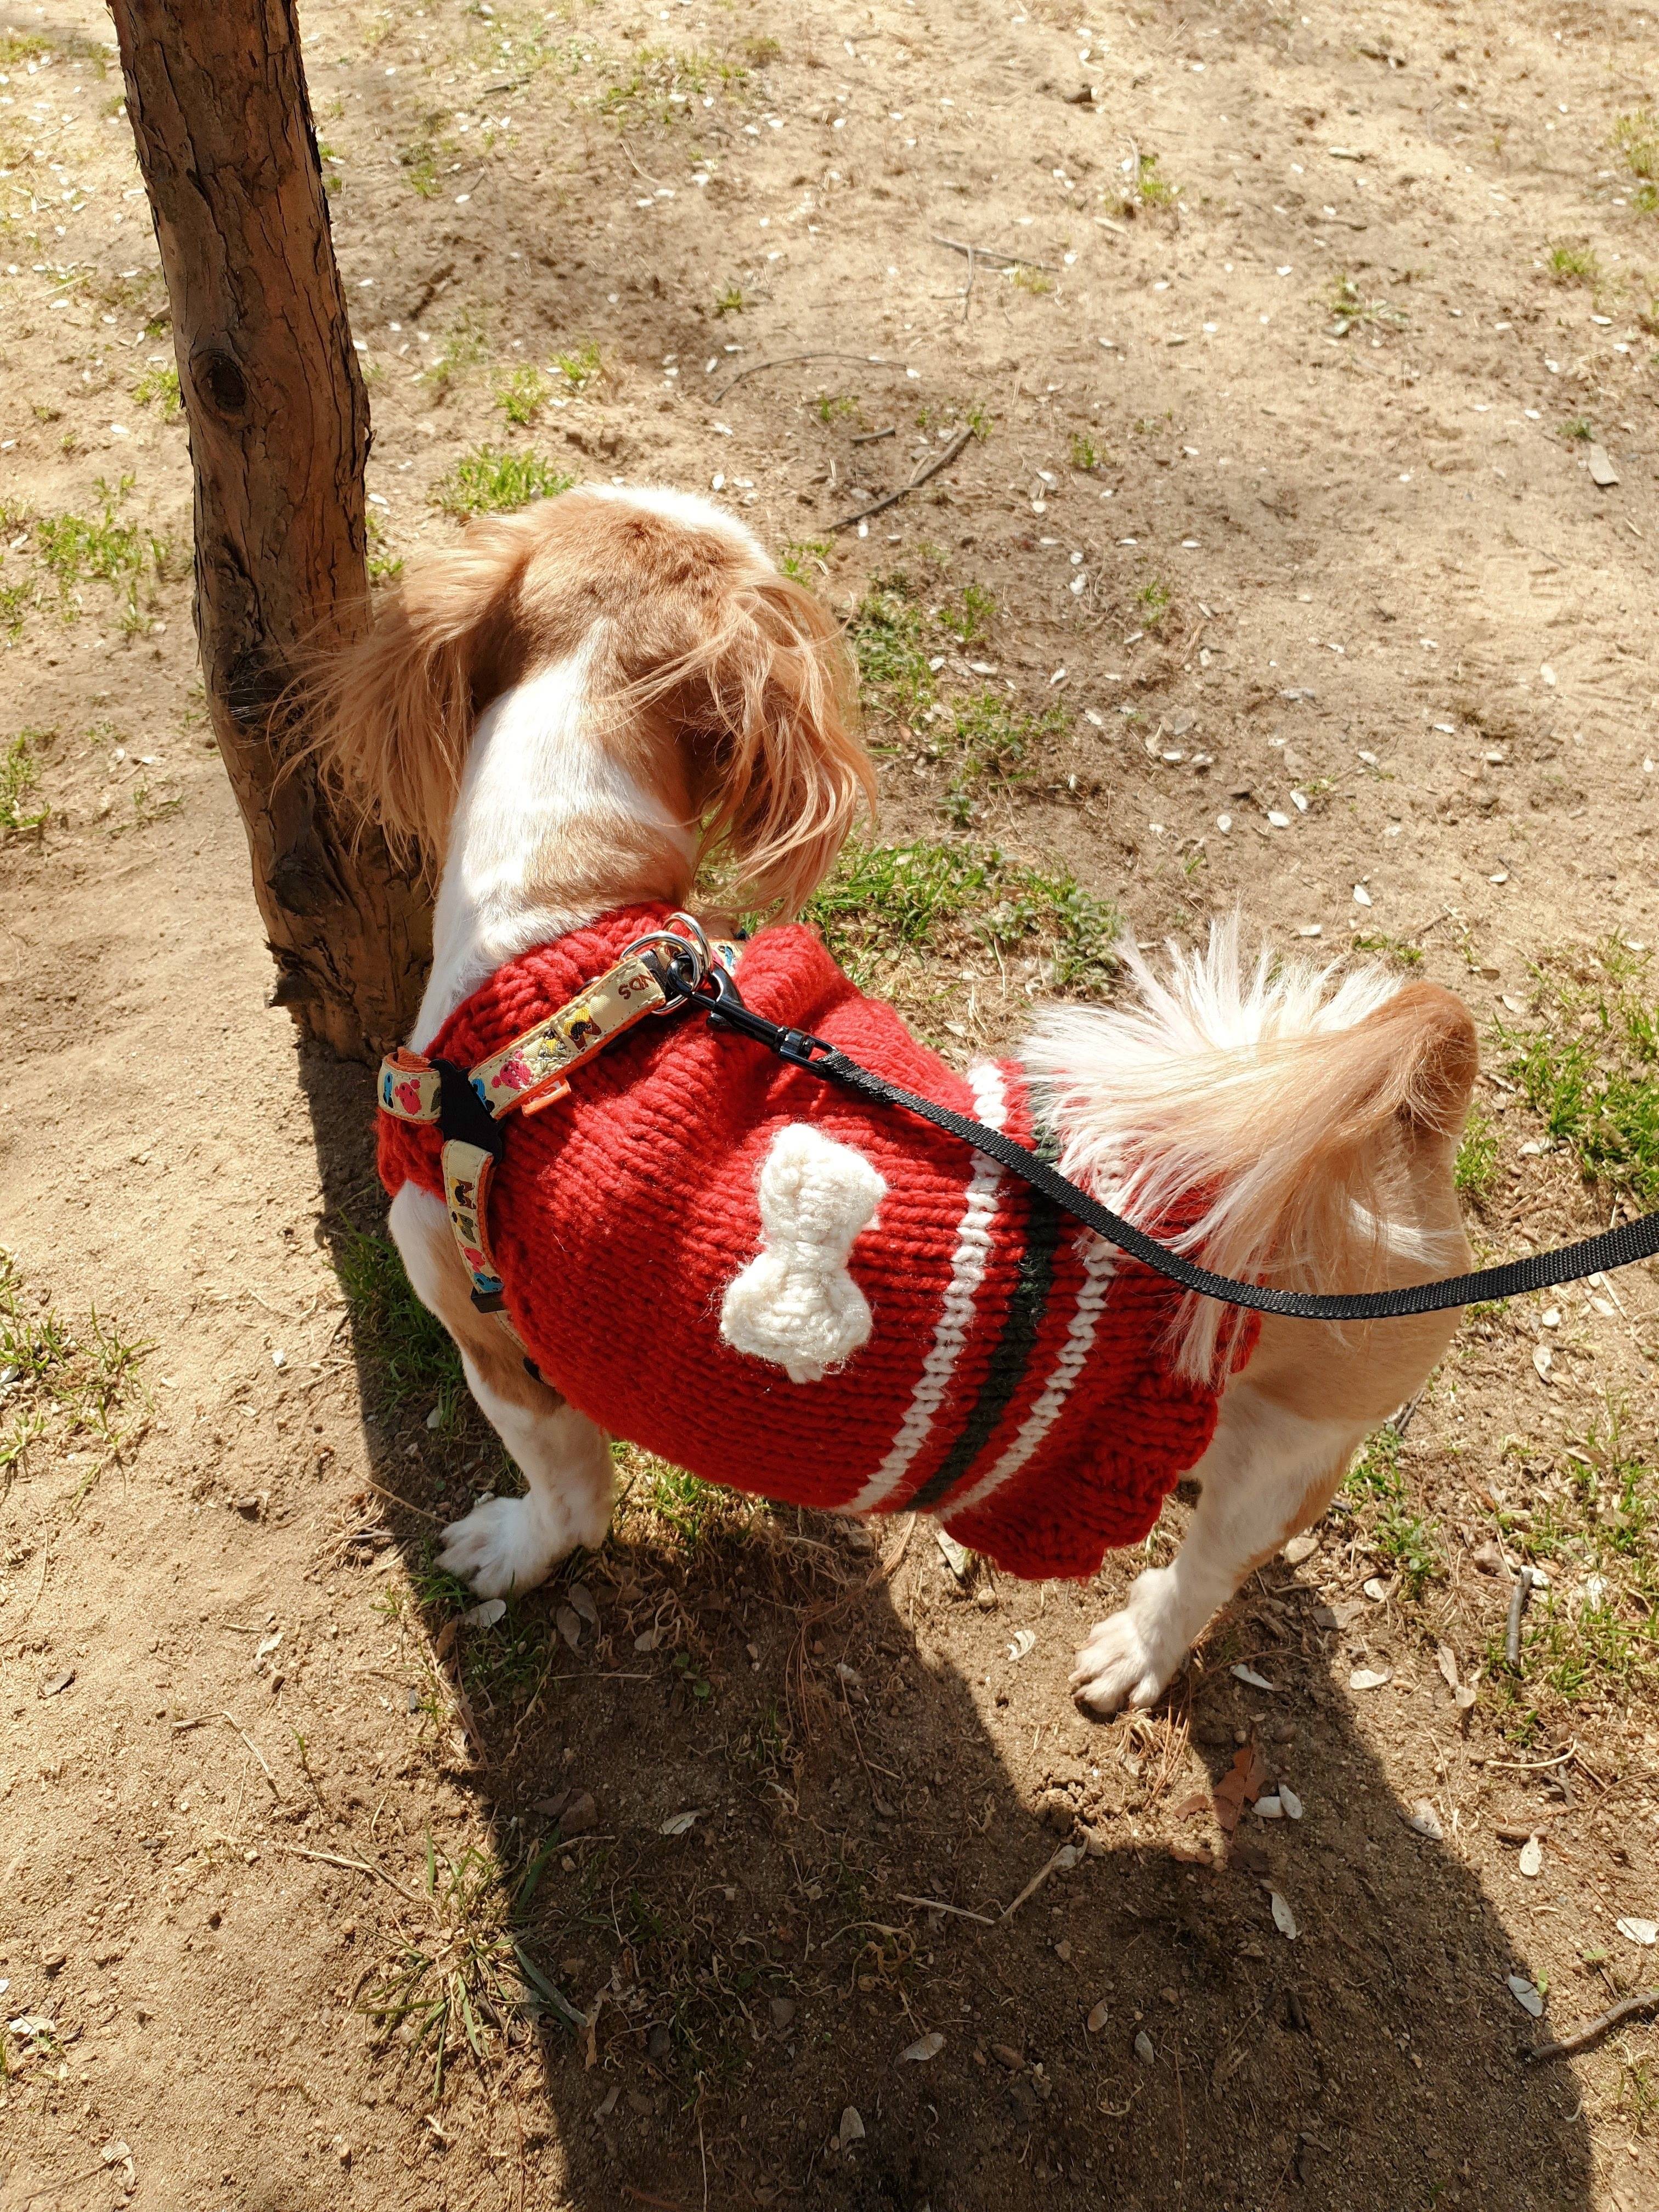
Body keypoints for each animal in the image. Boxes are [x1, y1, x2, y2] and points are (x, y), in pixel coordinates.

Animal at [312, 493, 1477, 1716]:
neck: (566, 942)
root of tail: (1405, 1103)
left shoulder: (491, 1330)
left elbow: (568, 1491)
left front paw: (515, 1549)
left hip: (1287, 1443)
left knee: (1213, 1562)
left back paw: (1140, 1645)